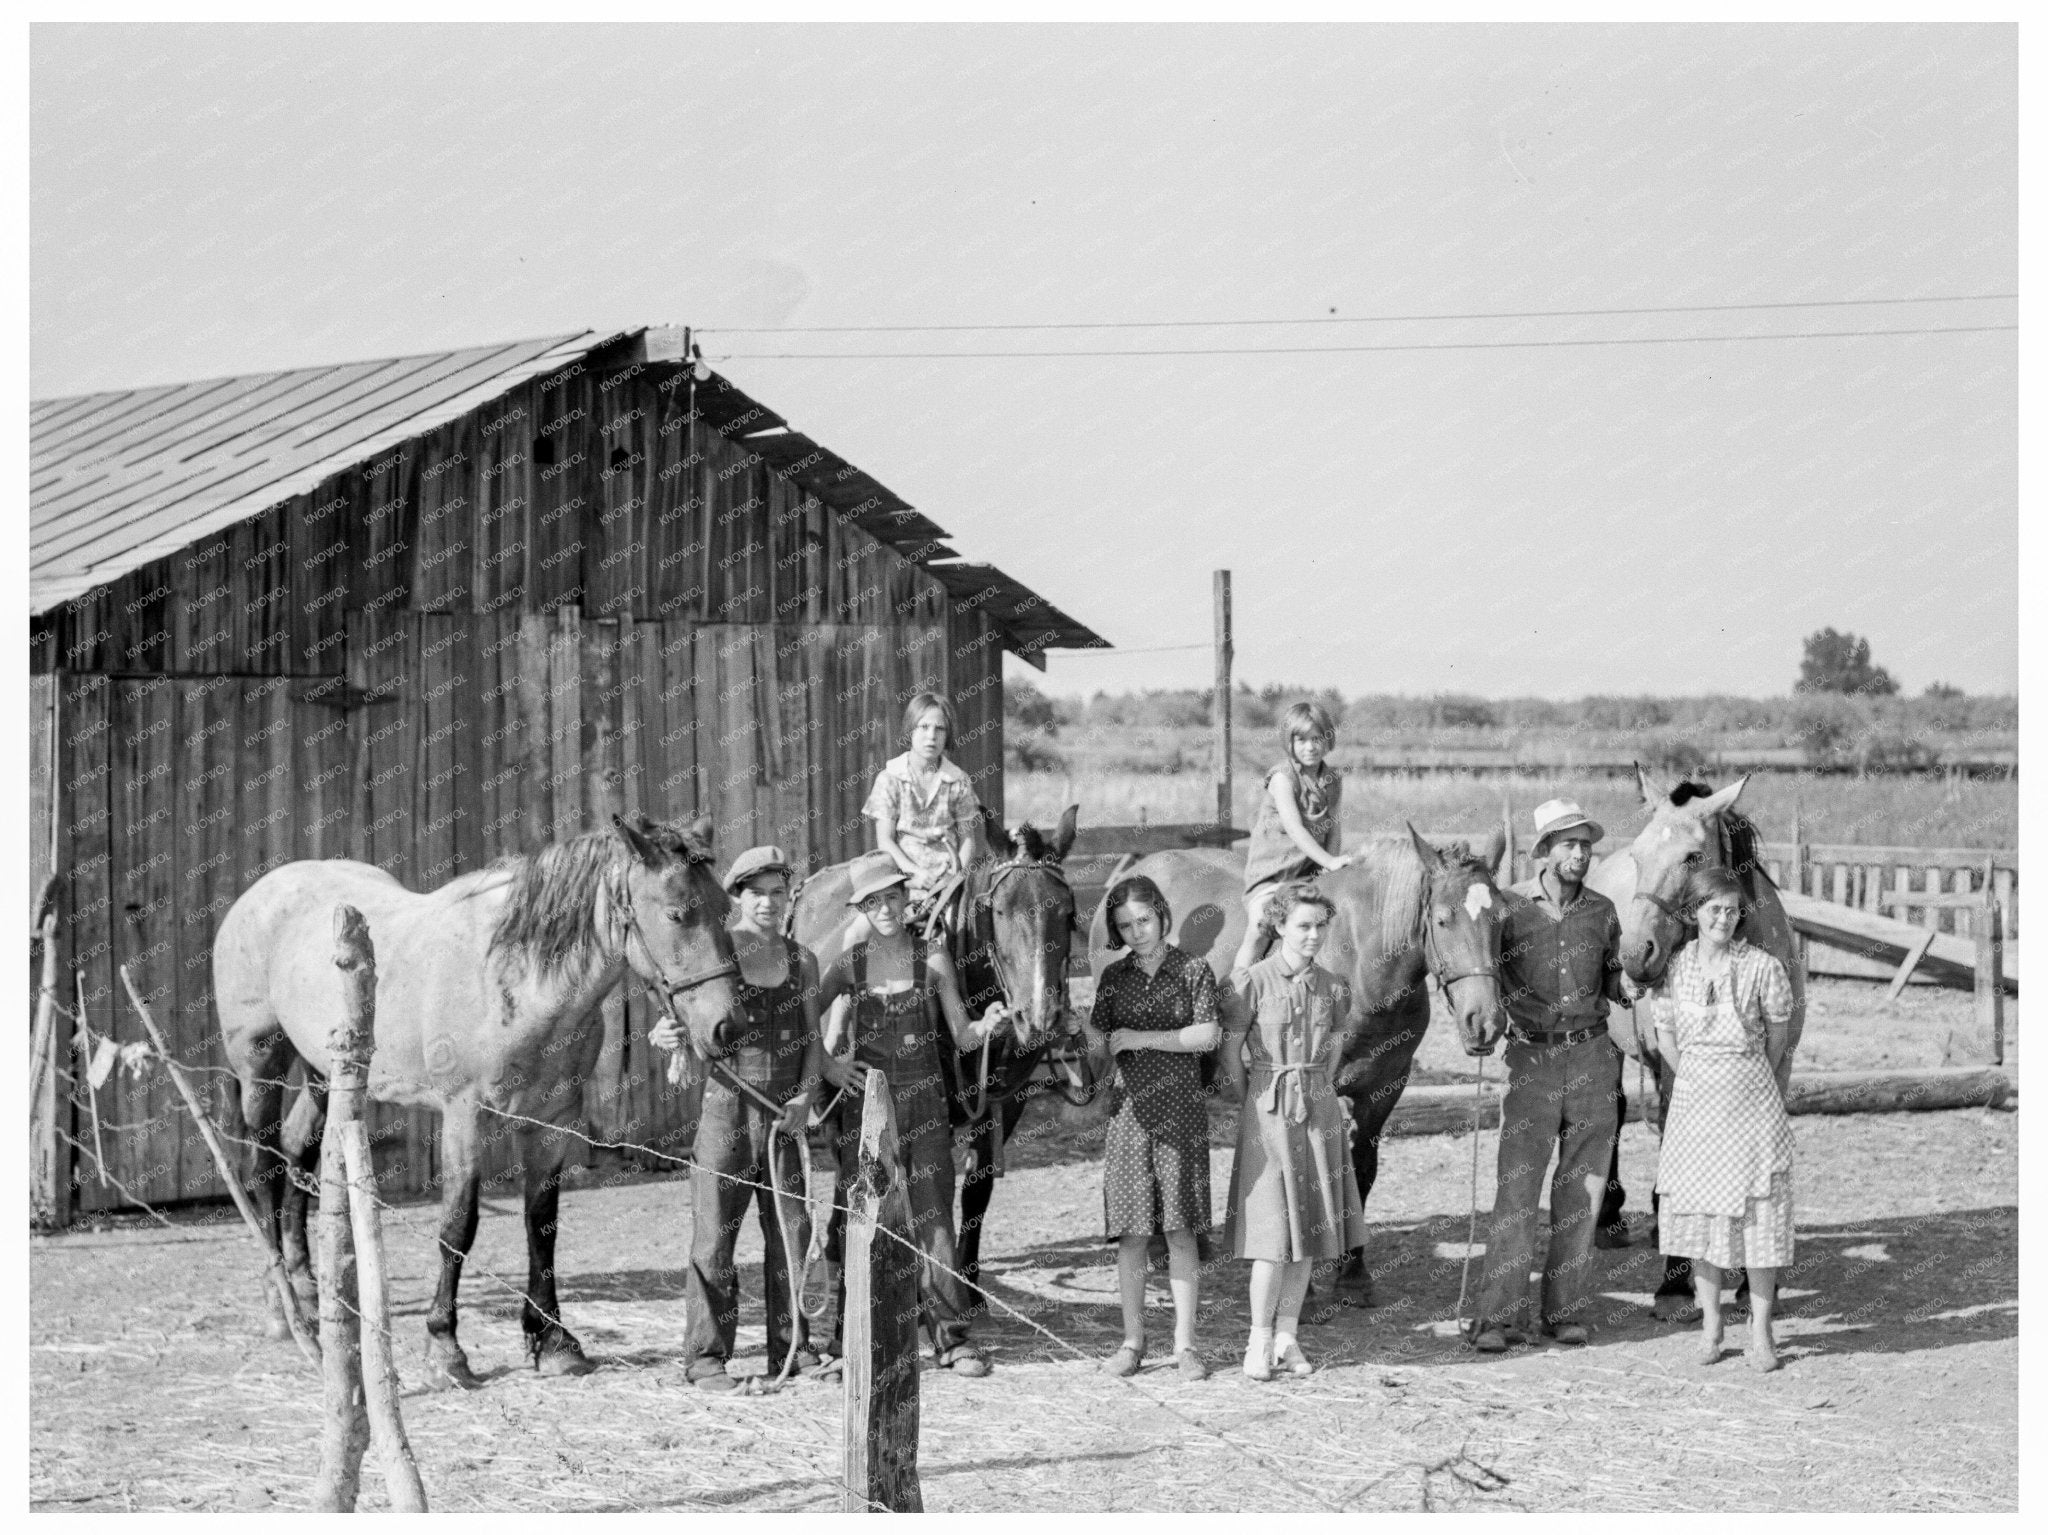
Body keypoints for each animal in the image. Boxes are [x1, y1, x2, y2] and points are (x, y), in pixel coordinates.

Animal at [218, 810, 745, 1391]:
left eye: (727, 909)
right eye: (677, 913)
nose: (729, 1027)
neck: (512, 980)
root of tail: (261, 892)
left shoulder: (554, 1121)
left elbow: (542, 1225)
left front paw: (553, 1341)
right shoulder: (465, 1117)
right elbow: (458, 1226)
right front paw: (445, 1348)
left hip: (323, 1074)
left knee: (296, 1154)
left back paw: (309, 1291)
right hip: (261, 1064)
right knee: (262, 1169)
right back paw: (283, 1306)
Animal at [790, 810, 1097, 1301]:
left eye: (1067, 913)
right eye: (998, 911)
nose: (1039, 1017)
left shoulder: (1004, 1104)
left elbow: (977, 1186)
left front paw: (968, 1286)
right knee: (842, 1164)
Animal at [1089, 830, 1507, 1309]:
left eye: (1502, 918)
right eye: (1442, 920)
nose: (1486, 1022)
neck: (1362, 959)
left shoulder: (1384, 1089)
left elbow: (1362, 1171)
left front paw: (1353, 1275)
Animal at [1581, 769, 1810, 1326]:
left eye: (1692, 856)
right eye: (1640, 853)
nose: (1633, 955)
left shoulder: (1781, 1065)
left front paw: (1752, 1280)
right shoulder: (1672, 1068)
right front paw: (1675, 1281)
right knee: (1615, 1111)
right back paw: (1613, 1218)